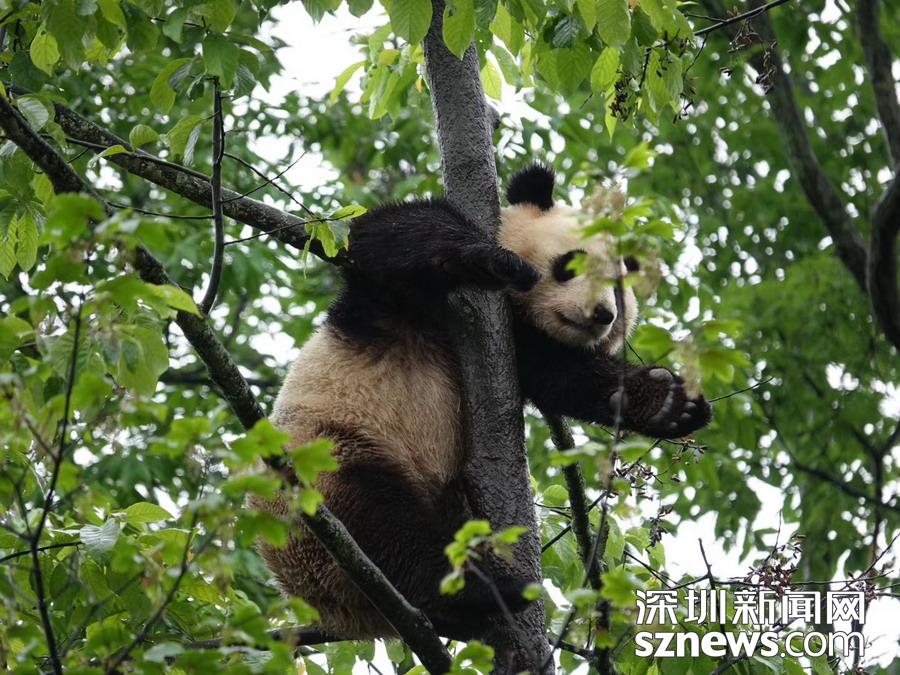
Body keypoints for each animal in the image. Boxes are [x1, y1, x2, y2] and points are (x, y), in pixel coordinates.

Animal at [257, 164, 711, 640]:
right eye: (571, 264)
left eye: (619, 291)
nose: (603, 315)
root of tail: (332, 608)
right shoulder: (394, 302)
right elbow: (384, 235)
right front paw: (491, 259)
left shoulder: (529, 349)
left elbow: (567, 375)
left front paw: (669, 403)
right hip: (326, 464)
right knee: (382, 527)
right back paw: (480, 588)